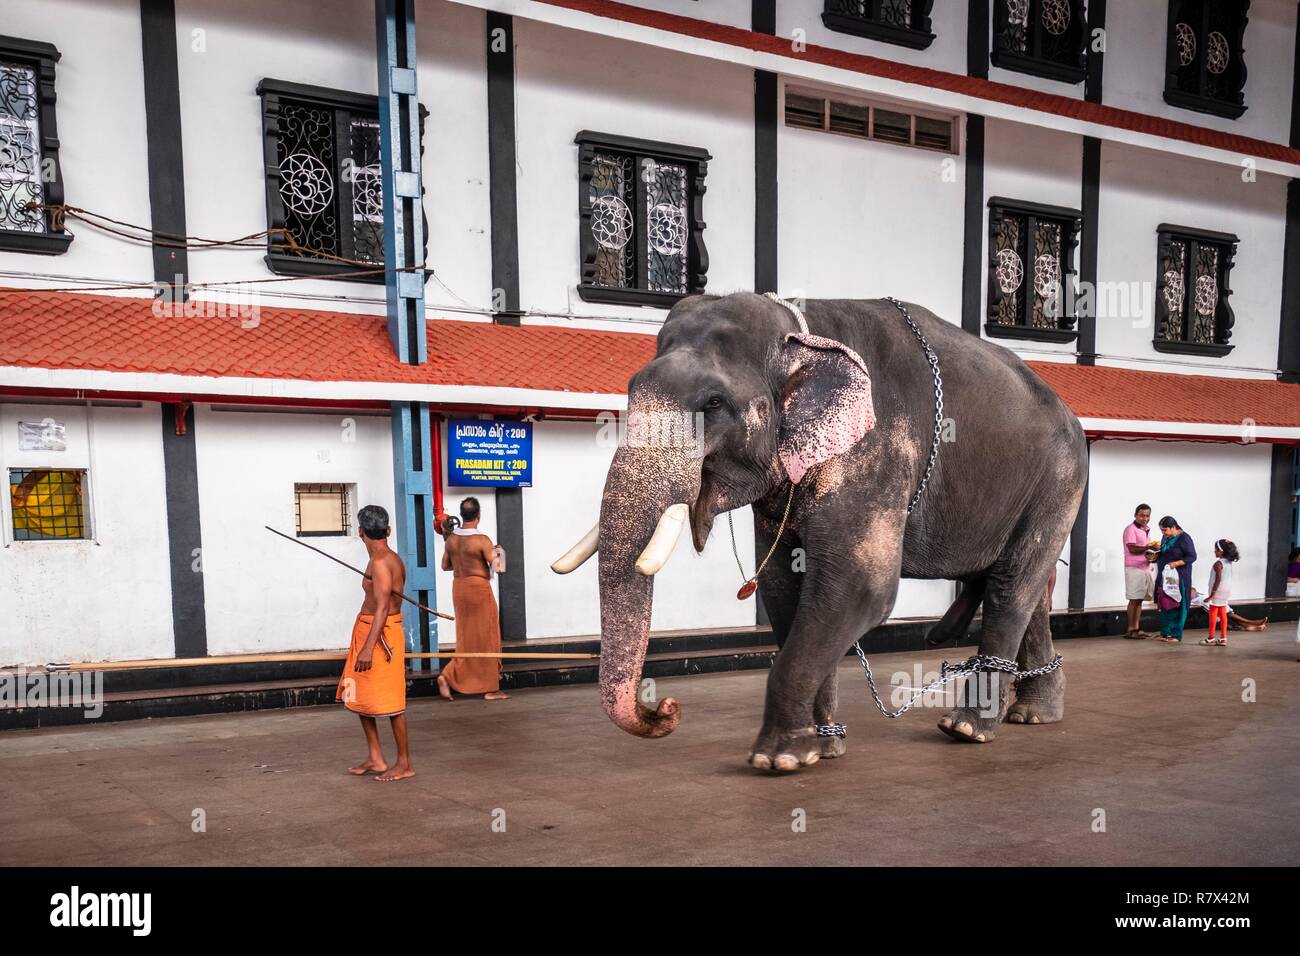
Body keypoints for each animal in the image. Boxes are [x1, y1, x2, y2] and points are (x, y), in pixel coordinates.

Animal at [553, 290, 1092, 770]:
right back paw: (1032, 714)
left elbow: (860, 587)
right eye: (629, 390)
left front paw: (778, 759)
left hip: (1061, 478)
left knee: (1013, 585)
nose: (665, 708)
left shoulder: (874, 451)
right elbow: (783, 586)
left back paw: (967, 728)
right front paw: (822, 748)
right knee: (1028, 588)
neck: (801, 332)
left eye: (713, 403)